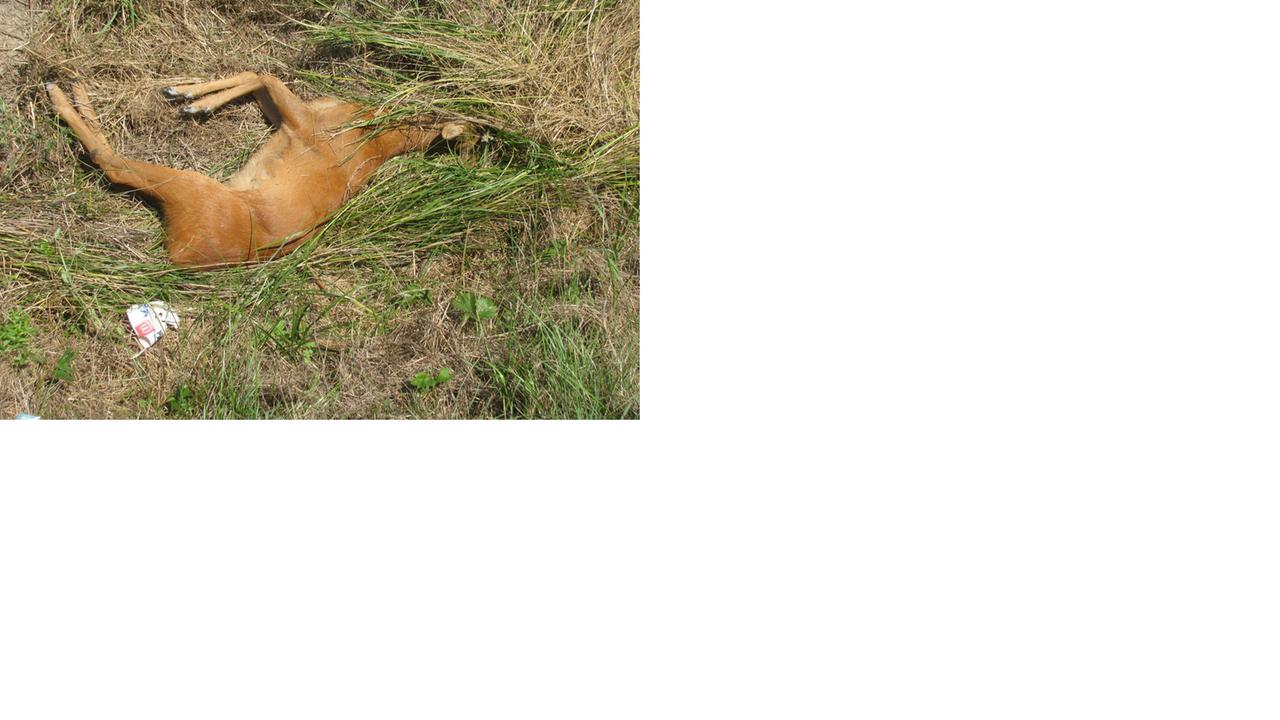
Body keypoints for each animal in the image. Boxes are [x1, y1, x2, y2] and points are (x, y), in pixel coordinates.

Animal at [45, 72, 478, 268]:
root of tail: (182, 255)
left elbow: (262, 73)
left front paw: (189, 97)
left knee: (109, 160)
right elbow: (259, 79)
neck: (378, 137)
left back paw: (62, 92)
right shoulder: (290, 122)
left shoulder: (303, 124)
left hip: (190, 185)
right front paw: (194, 98)